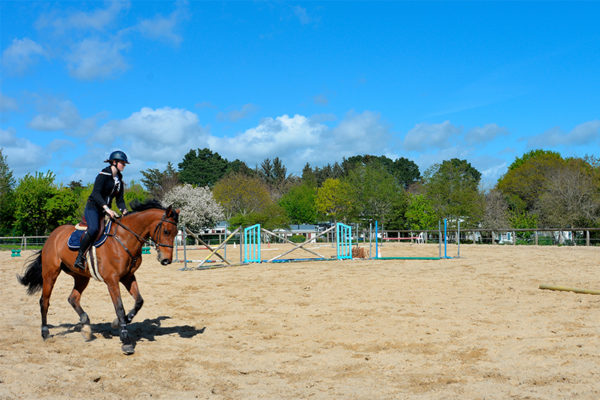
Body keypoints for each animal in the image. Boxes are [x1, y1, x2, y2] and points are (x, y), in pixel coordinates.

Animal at [17, 199, 179, 354]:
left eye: (176, 232)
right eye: (166, 231)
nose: (166, 260)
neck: (124, 238)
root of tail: (53, 235)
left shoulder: (128, 276)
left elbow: (139, 301)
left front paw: (120, 322)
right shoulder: (112, 280)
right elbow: (119, 308)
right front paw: (125, 339)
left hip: (82, 277)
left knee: (72, 298)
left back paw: (86, 325)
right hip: (50, 274)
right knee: (44, 301)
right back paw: (45, 332)